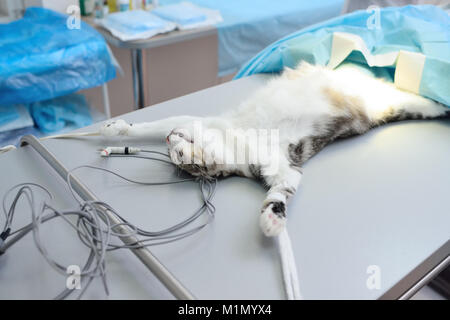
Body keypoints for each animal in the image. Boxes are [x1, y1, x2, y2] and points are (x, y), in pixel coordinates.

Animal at [100, 62, 448, 238]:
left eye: (180, 157)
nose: (170, 142)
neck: (236, 136)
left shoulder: (283, 163)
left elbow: (158, 122)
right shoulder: (281, 169)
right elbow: (279, 193)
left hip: (400, 102)